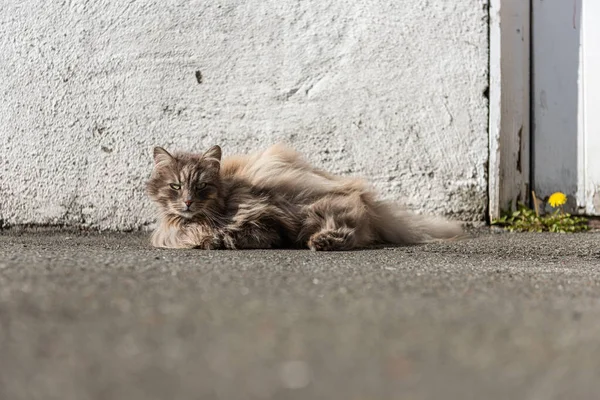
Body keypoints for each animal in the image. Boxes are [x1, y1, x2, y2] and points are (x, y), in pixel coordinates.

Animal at [146, 143, 464, 250]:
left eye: (201, 187)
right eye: (176, 187)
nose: (188, 202)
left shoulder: (267, 222)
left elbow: (246, 234)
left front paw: (217, 239)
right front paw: (209, 239)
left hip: (316, 205)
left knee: (348, 227)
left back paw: (323, 242)